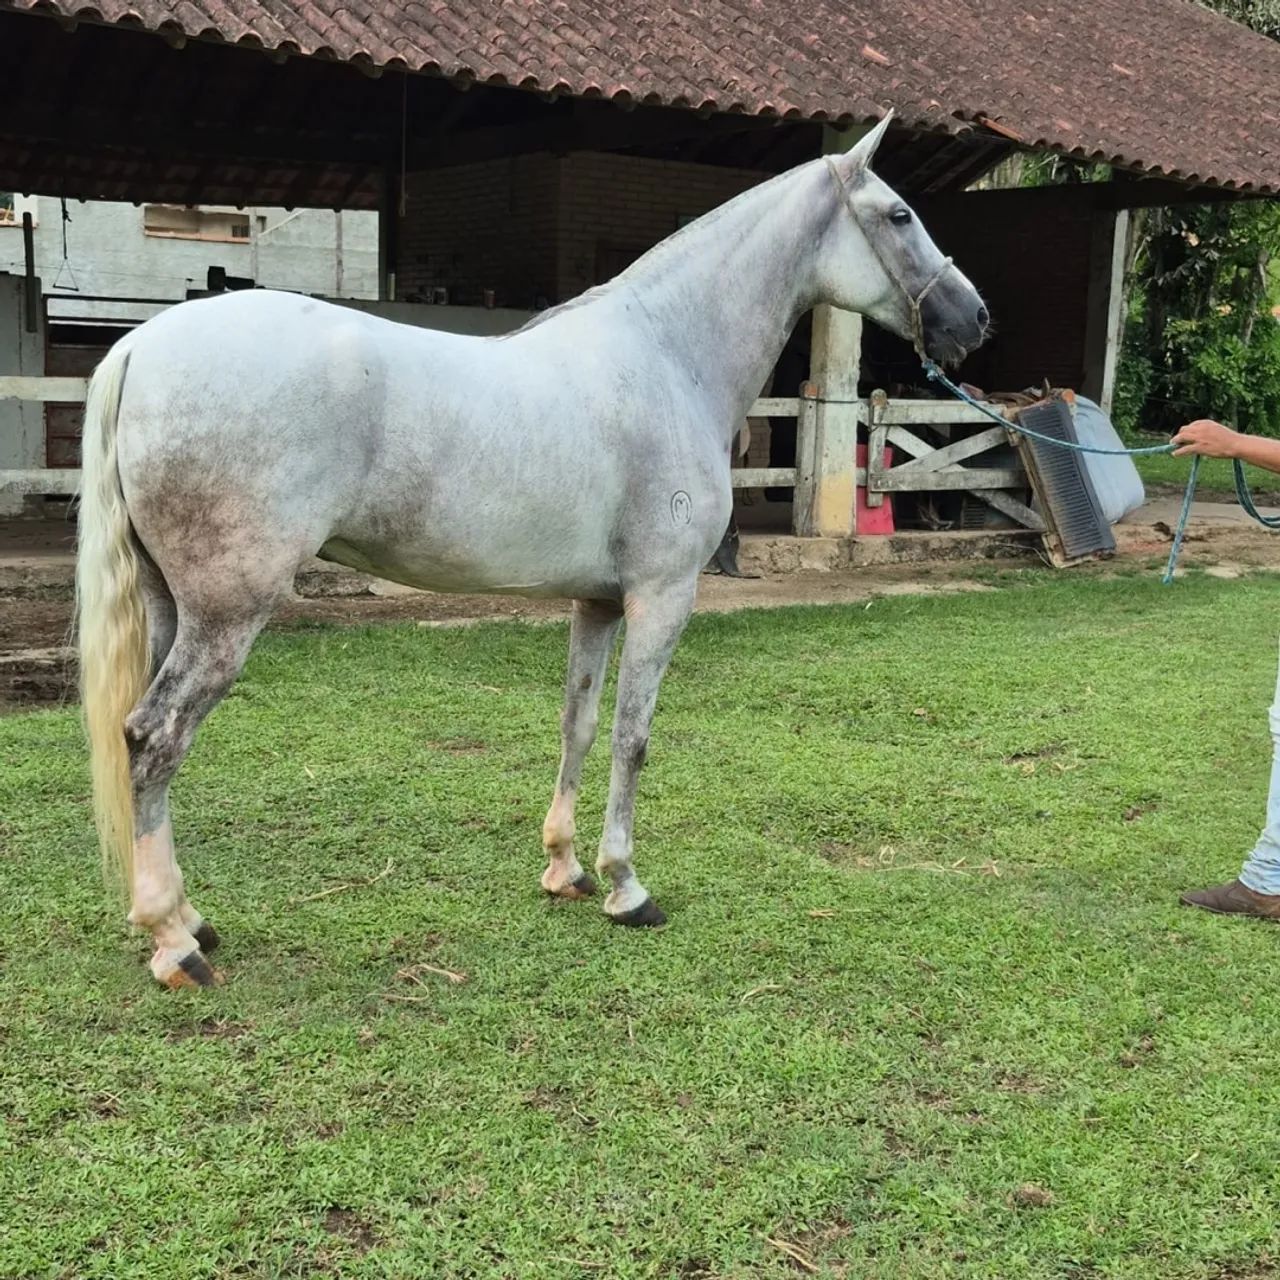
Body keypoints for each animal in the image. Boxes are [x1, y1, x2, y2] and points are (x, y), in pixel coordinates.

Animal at [76, 112, 988, 988]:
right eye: (899, 215)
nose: (974, 317)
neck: (669, 356)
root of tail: (141, 346)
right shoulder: (662, 596)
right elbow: (632, 736)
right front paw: (627, 887)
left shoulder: (599, 601)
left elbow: (577, 723)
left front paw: (566, 869)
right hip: (227, 615)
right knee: (155, 741)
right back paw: (173, 943)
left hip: (172, 607)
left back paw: (190, 920)